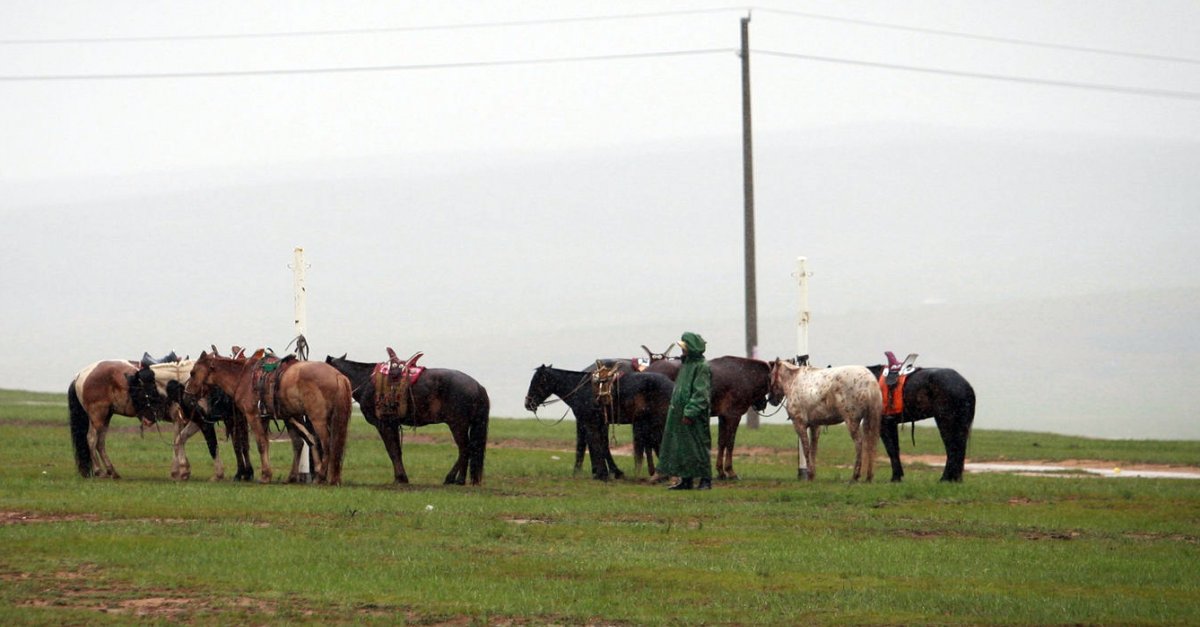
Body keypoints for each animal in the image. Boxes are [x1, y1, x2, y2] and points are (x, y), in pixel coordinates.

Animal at [183, 350, 350, 482]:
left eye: (193, 373)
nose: (186, 396)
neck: (243, 377)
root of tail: (338, 375)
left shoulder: (253, 416)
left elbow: (261, 443)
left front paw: (265, 475)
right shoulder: (268, 418)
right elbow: (276, 443)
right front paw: (276, 475)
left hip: (318, 419)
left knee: (327, 444)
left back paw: (321, 476)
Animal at [321, 350, 489, 482]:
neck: (367, 381)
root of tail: (477, 386)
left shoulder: (384, 424)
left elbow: (392, 450)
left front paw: (400, 478)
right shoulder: (392, 424)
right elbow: (396, 450)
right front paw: (401, 477)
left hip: (458, 424)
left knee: (465, 448)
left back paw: (454, 479)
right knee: (467, 449)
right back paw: (458, 479)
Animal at [525, 362, 676, 475]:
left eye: (536, 381)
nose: (528, 403)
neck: (582, 390)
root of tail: (672, 385)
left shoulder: (587, 421)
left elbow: (589, 444)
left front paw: (601, 472)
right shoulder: (600, 422)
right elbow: (600, 445)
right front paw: (610, 472)